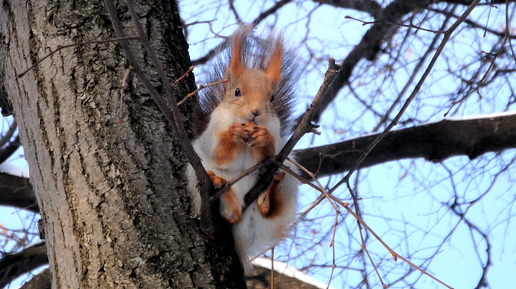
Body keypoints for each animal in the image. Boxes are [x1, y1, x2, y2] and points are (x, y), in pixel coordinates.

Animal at [185, 26, 298, 270]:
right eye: (237, 92)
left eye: (272, 98)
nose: (255, 112)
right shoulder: (212, 133)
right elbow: (219, 153)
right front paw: (233, 133)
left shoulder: (275, 135)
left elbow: (267, 154)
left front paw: (263, 138)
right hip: (196, 175)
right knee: (232, 214)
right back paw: (223, 194)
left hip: (288, 178)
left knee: (271, 209)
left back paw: (268, 195)